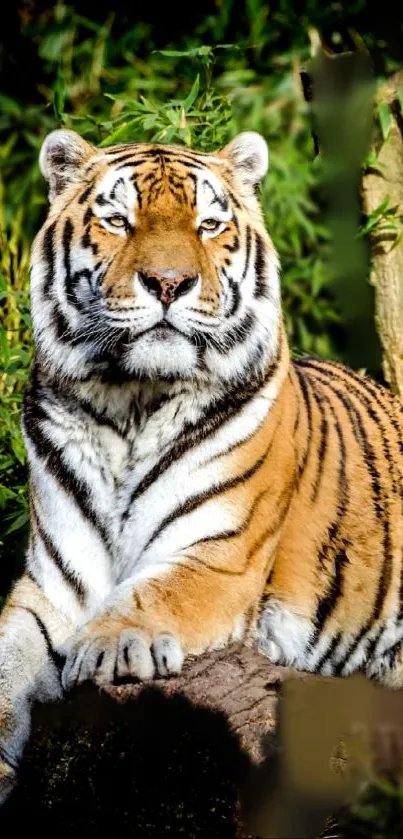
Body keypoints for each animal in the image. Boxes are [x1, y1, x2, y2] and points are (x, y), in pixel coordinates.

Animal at [0, 126, 403, 808]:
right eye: (118, 220)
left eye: (209, 225)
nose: (169, 282)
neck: (130, 405)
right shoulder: (52, 584)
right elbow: (5, 663)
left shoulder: (218, 556)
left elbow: (151, 591)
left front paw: (106, 647)